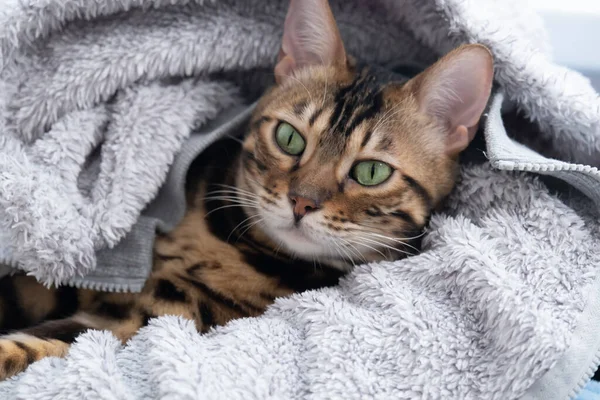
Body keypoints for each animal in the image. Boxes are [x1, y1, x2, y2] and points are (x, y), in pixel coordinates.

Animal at [0, 0, 492, 380]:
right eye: (289, 138)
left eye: (371, 172)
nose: (301, 201)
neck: (226, 243)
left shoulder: (144, 318)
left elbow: (28, 347)